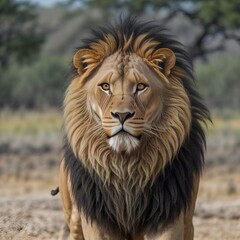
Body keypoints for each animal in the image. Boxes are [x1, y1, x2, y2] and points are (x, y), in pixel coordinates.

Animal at [57, 16, 209, 240]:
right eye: (105, 87)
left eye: (141, 87)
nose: (122, 115)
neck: (126, 167)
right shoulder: (98, 219)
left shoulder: (168, 215)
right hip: (74, 217)